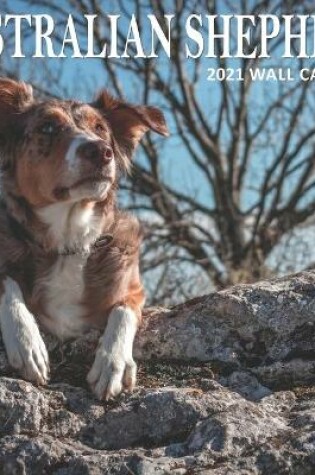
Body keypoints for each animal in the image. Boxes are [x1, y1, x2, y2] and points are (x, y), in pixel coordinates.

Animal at [0, 79, 169, 402]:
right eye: (48, 127)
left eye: (100, 128)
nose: (101, 152)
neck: (69, 242)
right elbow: (7, 284)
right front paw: (27, 343)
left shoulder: (134, 288)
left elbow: (122, 311)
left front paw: (113, 362)